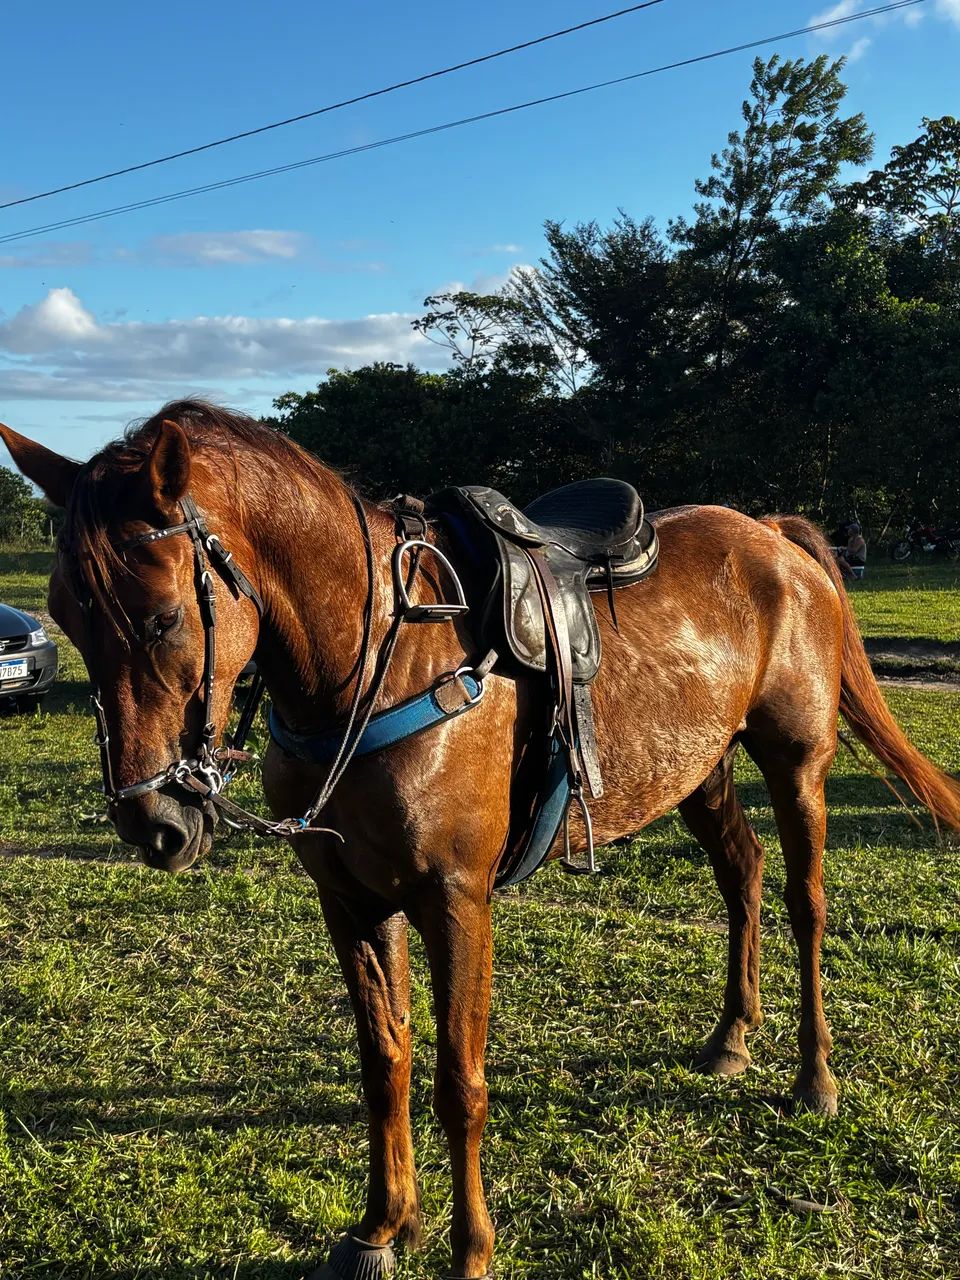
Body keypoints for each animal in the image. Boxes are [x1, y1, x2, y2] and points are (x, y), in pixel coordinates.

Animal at [2, 399, 959, 1280]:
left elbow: (459, 1082)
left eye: (163, 618)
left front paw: (471, 1251)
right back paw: (731, 1036)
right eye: (68, 617)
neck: (380, 659)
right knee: (742, 875)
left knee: (805, 902)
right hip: (697, 766)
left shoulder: (455, 902)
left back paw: (815, 1076)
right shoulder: (351, 900)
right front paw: (382, 1227)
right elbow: (384, 1060)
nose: (154, 822)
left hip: (796, 762)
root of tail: (770, 535)